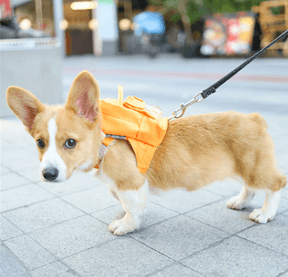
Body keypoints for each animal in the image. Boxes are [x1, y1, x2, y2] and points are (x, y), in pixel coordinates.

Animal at [6, 70, 286, 234]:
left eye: (70, 143)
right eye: (40, 143)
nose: (48, 174)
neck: (105, 141)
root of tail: (255, 117)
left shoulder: (131, 182)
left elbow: (132, 207)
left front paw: (126, 225)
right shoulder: (118, 185)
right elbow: (124, 202)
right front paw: (126, 215)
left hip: (254, 168)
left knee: (276, 184)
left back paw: (265, 213)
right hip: (243, 168)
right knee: (250, 187)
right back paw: (240, 202)